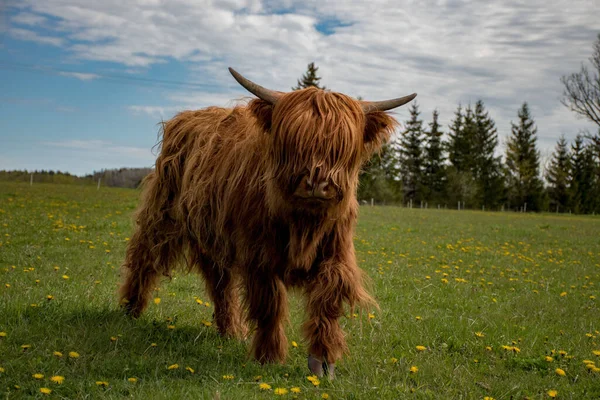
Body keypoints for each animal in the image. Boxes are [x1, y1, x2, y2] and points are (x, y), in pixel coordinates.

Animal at [119, 67, 414, 376]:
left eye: (339, 147)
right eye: (295, 142)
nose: (317, 184)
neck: (302, 223)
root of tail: (185, 117)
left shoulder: (336, 251)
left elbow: (328, 298)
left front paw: (323, 360)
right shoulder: (259, 255)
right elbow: (269, 304)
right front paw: (269, 356)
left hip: (212, 233)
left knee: (219, 281)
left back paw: (231, 330)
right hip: (162, 213)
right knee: (145, 257)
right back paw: (129, 309)